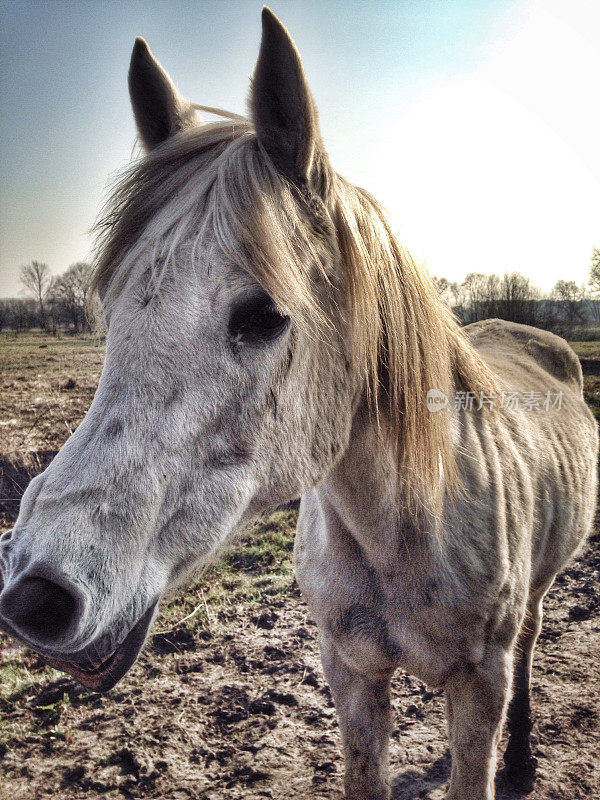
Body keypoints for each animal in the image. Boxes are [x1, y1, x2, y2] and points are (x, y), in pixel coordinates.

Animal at [0, 7, 596, 800]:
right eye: (111, 306)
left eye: (263, 315)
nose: (35, 593)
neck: (406, 527)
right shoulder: (350, 674)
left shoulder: (479, 686)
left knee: (531, 638)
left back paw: (524, 754)